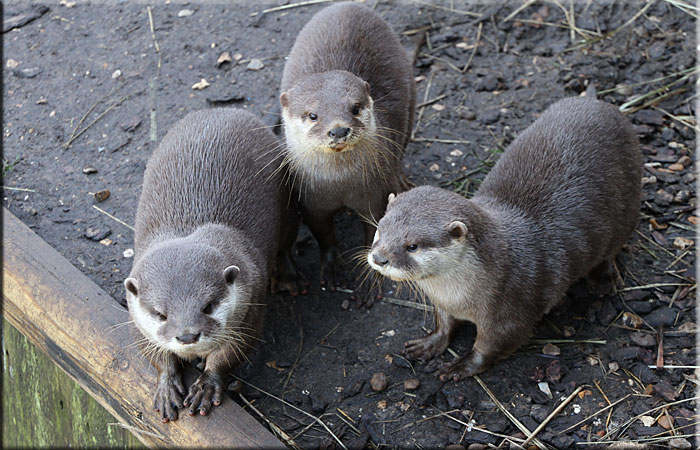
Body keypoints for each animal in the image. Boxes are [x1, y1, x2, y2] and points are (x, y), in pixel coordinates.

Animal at [124, 108, 299, 422]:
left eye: (208, 306)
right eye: (160, 314)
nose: (187, 335)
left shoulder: (251, 302)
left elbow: (231, 353)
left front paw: (207, 384)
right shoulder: (134, 316)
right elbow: (152, 352)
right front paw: (166, 385)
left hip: (288, 199)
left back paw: (287, 276)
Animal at [280, 2, 415, 290]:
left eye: (355, 107)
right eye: (313, 115)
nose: (339, 129)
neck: (339, 184)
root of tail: (348, 5)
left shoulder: (375, 193)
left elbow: (374, 229)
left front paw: (371, 276)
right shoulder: (310, 201)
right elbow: (323, 235)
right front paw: (332, 267)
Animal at [368, 96, 641, 380]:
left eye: (412, 246)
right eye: (380, 228)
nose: (379, 258)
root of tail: (600, 104)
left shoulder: (510, 310)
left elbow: (492, 345)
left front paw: (461, 365)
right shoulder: (444, 303)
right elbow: (444, 323)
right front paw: (430, 343)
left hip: (627, 211)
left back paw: (604, 279)